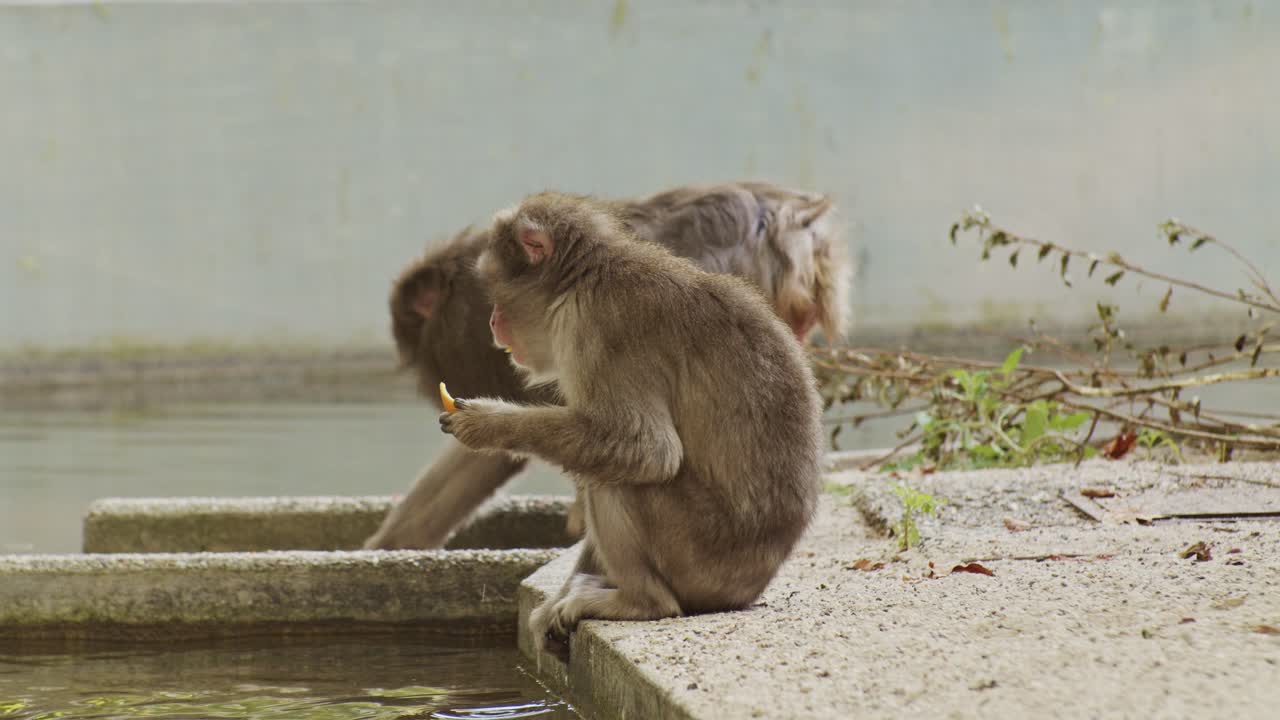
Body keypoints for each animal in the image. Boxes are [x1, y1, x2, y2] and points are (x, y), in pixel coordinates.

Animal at [439, 191, 823, 657]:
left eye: (495, 287)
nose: (493, 321)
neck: (581, 281)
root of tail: (753, 585)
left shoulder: (599, 328)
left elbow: (647, 450)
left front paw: (487, 424)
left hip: (700, 555)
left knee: (621, 482)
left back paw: (642, 602)